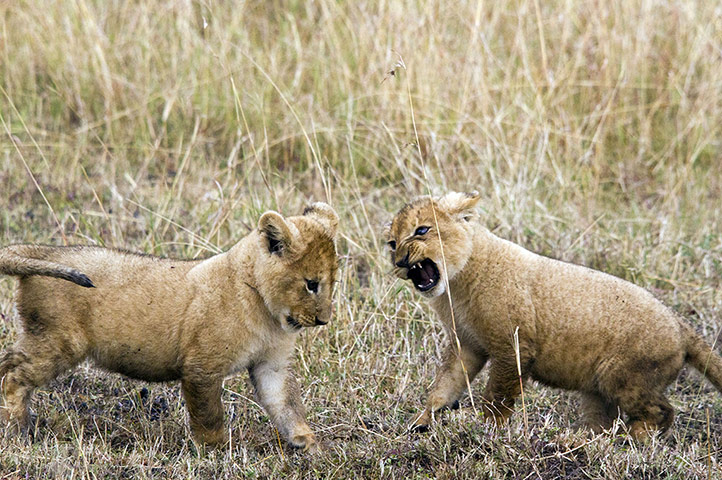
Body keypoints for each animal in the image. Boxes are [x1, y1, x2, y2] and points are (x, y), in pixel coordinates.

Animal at [0, 202, 339, 451]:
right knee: (13, 376)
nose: (324, 320)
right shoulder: (201, 367)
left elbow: (287, 404)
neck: (268, 314)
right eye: (311, 284)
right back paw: (19, 430)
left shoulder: (272, 364)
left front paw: (308, 444)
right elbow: (209, 416)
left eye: (333, 282)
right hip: (59, 342)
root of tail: (45, 251)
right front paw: (216, 451)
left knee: (6, 363)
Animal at [385, 191, 722, 438]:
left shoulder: (514, 345)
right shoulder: (466, 345)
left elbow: (497, 395)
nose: (400, 261)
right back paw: (583, 439)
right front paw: (421, 423)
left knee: (662, 411)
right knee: (604, 419)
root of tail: (681, 324)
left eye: (422, 230)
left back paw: (631, 438)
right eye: (391, 243)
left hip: (624, 376)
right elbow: (445, 385)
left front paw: (486, 428)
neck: (455, 286)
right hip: (598, 389)